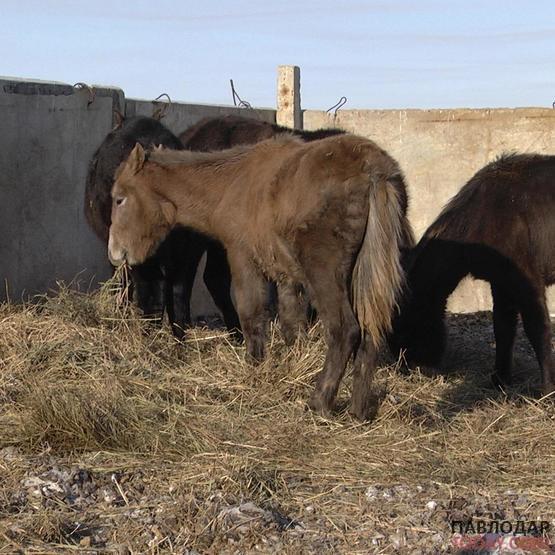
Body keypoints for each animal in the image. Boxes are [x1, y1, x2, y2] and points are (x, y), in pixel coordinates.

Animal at [109, 136, 412, 422]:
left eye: (119, 198)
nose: (114, 252)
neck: (232, 183)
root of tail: (373, 170)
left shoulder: (244, 260)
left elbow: (251, 315)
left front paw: (254, 370)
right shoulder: (287, 277)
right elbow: (292, 326)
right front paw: (291, 368)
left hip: (325, 274)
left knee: (345, 330)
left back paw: (319, 402)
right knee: (372, 332)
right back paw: (358, 411)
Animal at [390, 152, 555, 396]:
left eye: (403, 327)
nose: (407, 368)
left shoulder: (528, 281)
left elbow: (538, 330)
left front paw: (547, 389)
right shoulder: (502, 283)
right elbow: (503, 328)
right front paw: (499, 380)